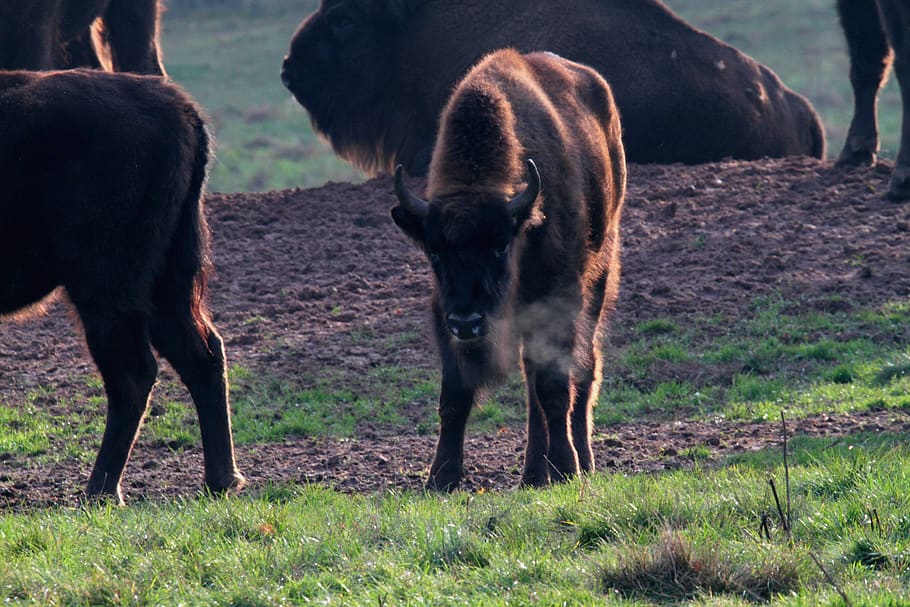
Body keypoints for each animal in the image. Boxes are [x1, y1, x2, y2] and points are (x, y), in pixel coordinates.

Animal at [0, 69, 243, 503]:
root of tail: (179, 107)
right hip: (165, 284)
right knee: (202, 354)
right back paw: (220, 480)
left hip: (105, 286)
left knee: (133, 373)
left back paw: (100, 491)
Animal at [391, 49, 625, 491]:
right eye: (435, 252)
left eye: (501, 245)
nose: (468, 322)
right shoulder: (443, 311)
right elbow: (455, 394)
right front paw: (441, 478)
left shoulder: (558, 299)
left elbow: (555, 386)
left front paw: (566, 468)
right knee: (533, 386)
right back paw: (533, 474)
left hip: (601, 272)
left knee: (583, 368)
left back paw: (579, 462)